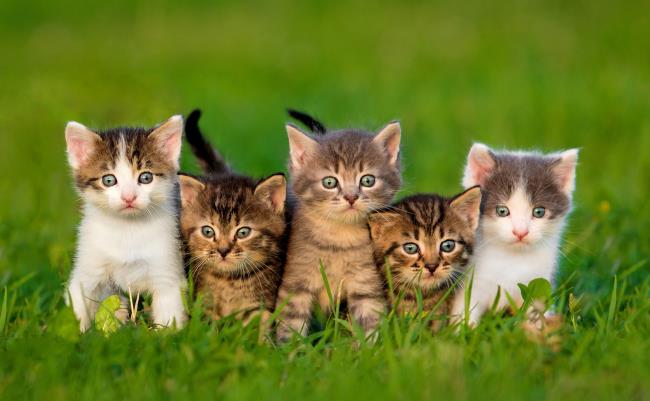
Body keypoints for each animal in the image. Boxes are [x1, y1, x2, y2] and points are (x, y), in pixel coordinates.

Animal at [65, 114, 187, 330]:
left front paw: (166, 335)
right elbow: (78, 299)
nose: (128, 197)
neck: (127, 229)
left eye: (146, 177)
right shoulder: (88, 267)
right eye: (108, 180)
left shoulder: (167, 267)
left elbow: (169, 311)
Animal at [178, 108, 288, 322]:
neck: (228, 280)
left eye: (243, 232)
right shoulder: (204, 303)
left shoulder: (261, 304)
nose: (223, 251)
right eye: (208, 231)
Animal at [274, 120, 400, 340]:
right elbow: (291, 323)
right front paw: (288, 348)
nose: (351, 197)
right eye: (329, 182)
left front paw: (371, 347)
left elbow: (370, 321)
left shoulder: (366, 282)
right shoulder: (296, 283)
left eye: (367, 180)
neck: (339, 240)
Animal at [450, 142, 576, 324]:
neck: (512, 259)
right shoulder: (471, 282)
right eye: (502, 211)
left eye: (539, 212)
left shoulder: (540, 283)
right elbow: (465, 310)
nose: (520, 232)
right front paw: (464, 329)